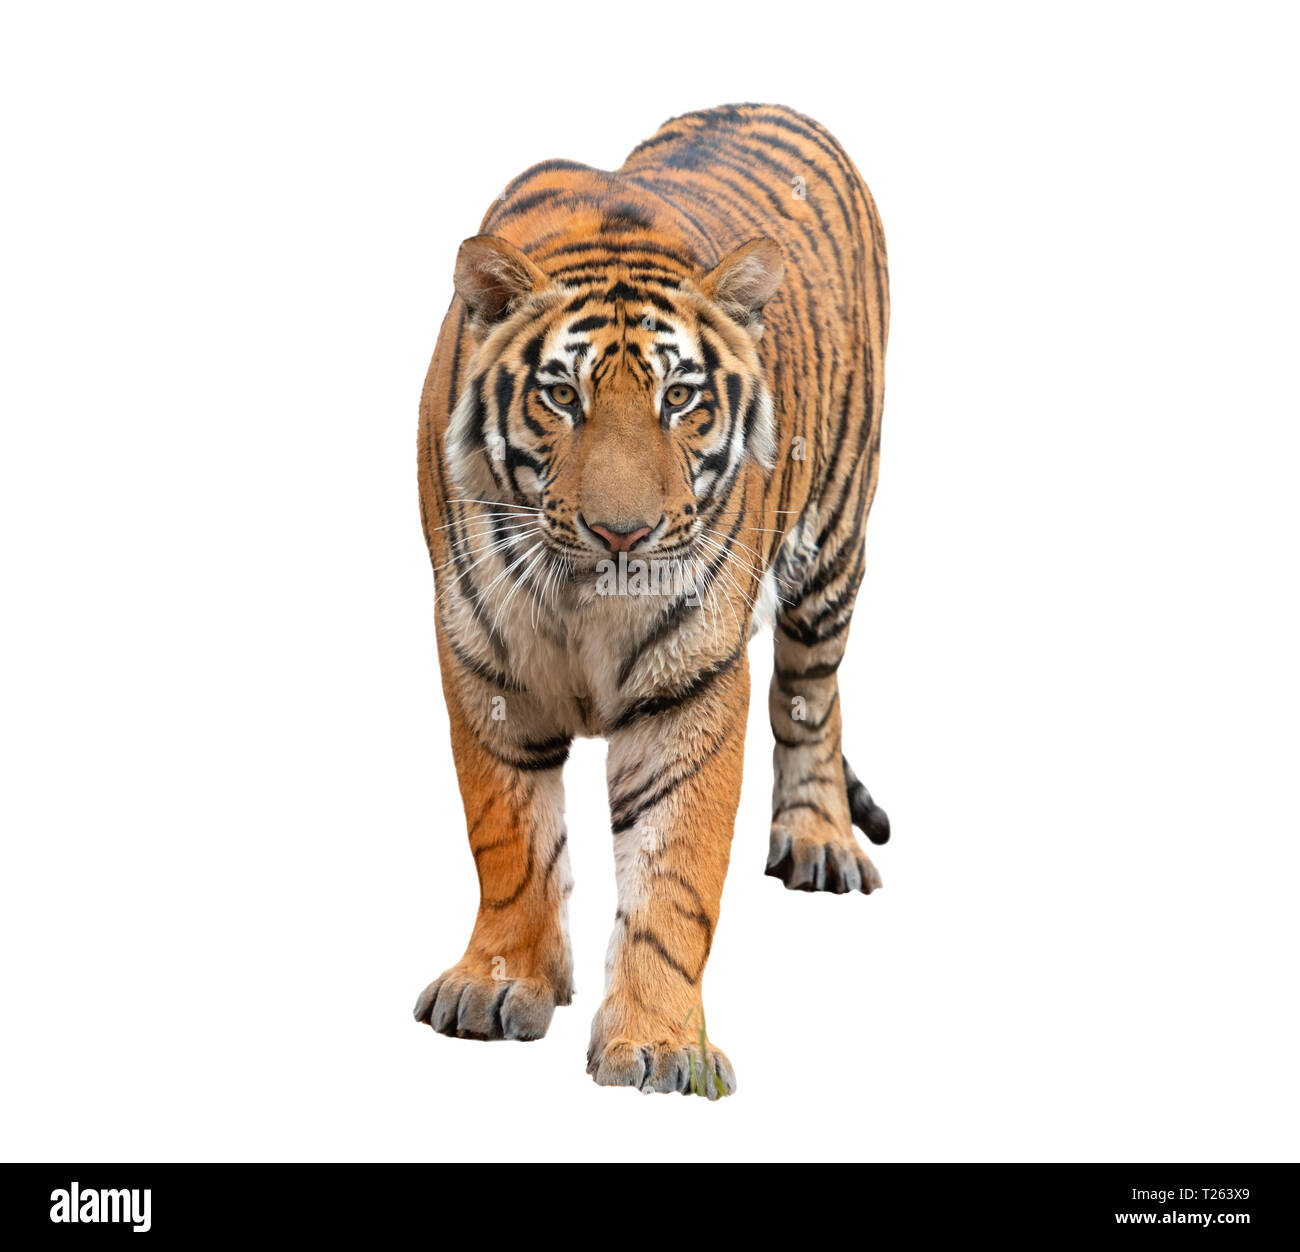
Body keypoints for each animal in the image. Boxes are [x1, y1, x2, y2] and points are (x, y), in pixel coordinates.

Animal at [413, 103, 890, 1097]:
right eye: (561, 395)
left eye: (682, 399)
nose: (622, 535)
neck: (580, 601)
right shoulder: (481, 656)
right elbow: (506, 836)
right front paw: (499, 982)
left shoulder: (694, 680)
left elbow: (676, 876)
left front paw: (661, 1045)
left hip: (833, 542)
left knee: (812, 696)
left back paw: (820, 837)